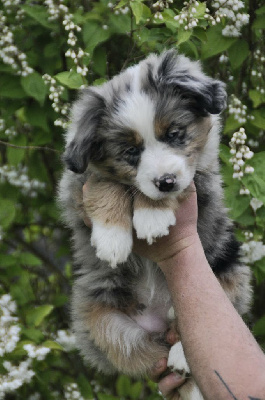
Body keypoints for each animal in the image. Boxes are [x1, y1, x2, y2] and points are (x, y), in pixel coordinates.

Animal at [58, 50, 252, 400]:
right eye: (130, 152)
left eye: (174, 134)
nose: (165, 181)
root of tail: (158, 320)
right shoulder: (75, 186)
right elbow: (108, 184)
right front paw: (112, 240)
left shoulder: (199, 176)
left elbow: (167, 189)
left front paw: (152, 217)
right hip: (103, 322)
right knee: (149, 355)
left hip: (230, 272)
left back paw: (182, 356)